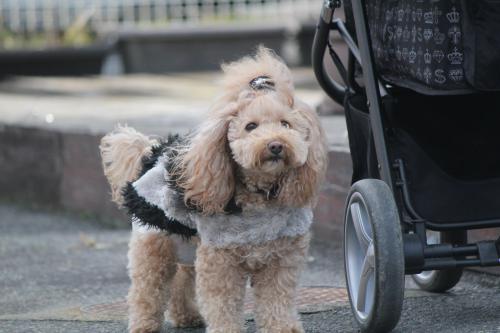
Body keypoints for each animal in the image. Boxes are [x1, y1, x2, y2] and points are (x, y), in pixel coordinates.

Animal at [100, 47, 328, 332]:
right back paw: (144, 324)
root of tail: (152, 154)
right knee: (147, 286)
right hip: (155, 241)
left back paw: (186, 316)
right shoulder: (221, 262)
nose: (276, 145)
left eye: (286, 124)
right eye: (250, 126)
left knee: (182, 278)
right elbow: (223, 303)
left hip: (187, 241)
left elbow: (277, 300)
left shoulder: (281, 260)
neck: (259, 193)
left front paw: (283, 327)